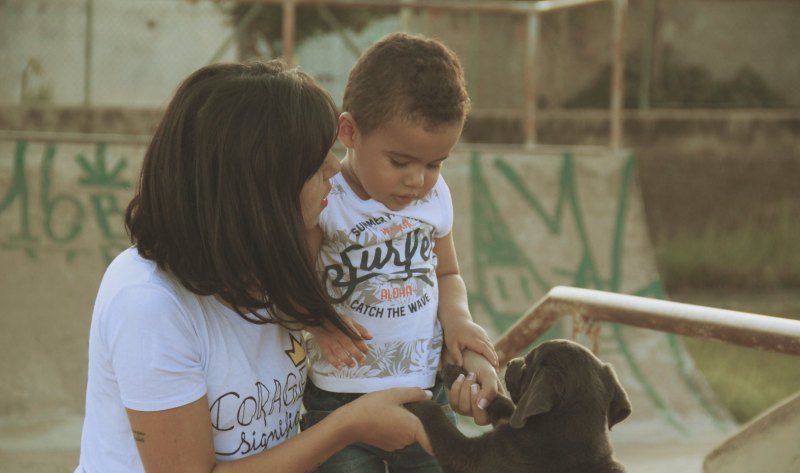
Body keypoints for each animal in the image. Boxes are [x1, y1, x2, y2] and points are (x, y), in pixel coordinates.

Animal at [406, 338, 632, 470]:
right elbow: (497, 400)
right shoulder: (511, 418)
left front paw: (416, 399)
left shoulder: (467, 457)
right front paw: (459, 374)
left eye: (529, 362)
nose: (511, 362)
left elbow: (437, 421)